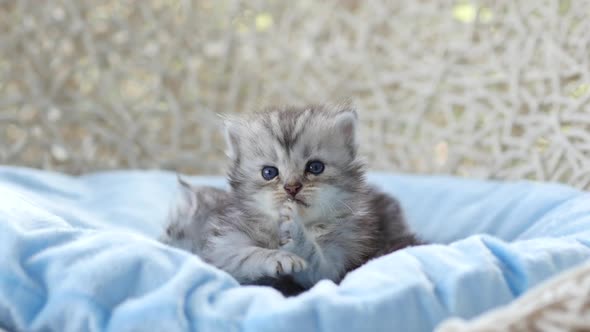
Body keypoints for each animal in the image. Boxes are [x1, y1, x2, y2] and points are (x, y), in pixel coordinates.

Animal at [162, 104, 420, 294]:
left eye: (315, 167)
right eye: (269, 172)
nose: (292, 188)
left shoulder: (337, 260)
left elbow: (317, 263)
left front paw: (296, 234)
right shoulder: (222, 246)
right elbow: (244, 254)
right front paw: (278, 257)